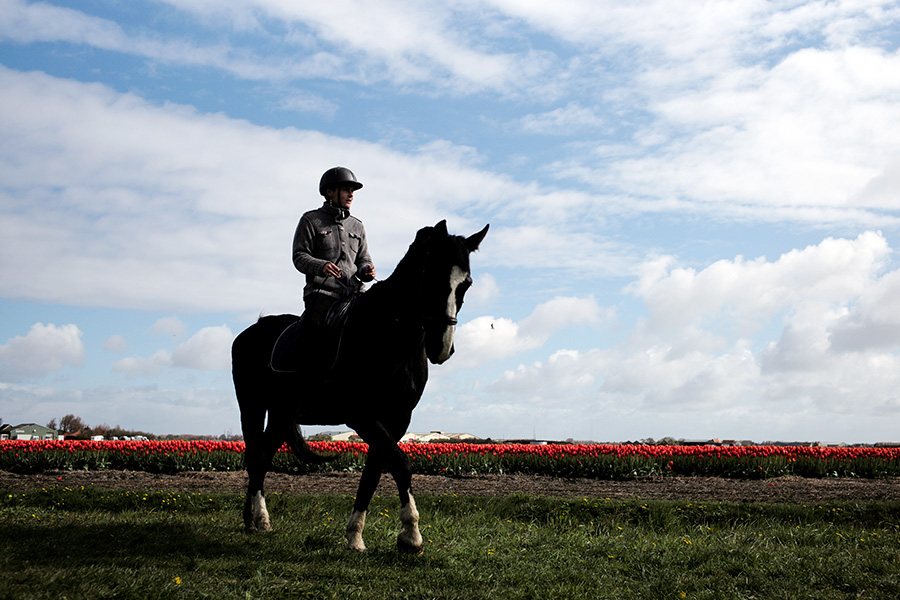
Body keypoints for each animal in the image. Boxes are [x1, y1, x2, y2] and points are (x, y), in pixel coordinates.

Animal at [230, 220, 486, 552]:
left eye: (465, 283)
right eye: (431, 275)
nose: (441, 347)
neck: (391, 338)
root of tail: (250, 331)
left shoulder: (396, 419)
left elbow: (374, 471)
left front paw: (356, 535)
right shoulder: (361, 416)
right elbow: (400, 462)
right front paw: (411, 535)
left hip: (280, 413)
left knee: (263, 455)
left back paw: (257, 519)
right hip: (252, 406)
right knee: (256, 457)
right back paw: (255, 519)